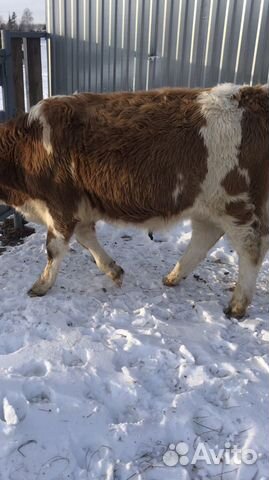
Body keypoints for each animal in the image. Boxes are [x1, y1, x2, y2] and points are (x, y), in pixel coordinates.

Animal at [0, 85, 266, 318]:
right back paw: (173, 277)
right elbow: (87, 239)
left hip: (236, 204)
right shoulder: (80, 207)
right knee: (204, 238)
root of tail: (251, 94)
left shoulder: (60, 205)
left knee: (251, 248)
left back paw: (237, 305)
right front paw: (113, 270)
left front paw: (41, 285)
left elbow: (54, 249)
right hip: (207, 206)